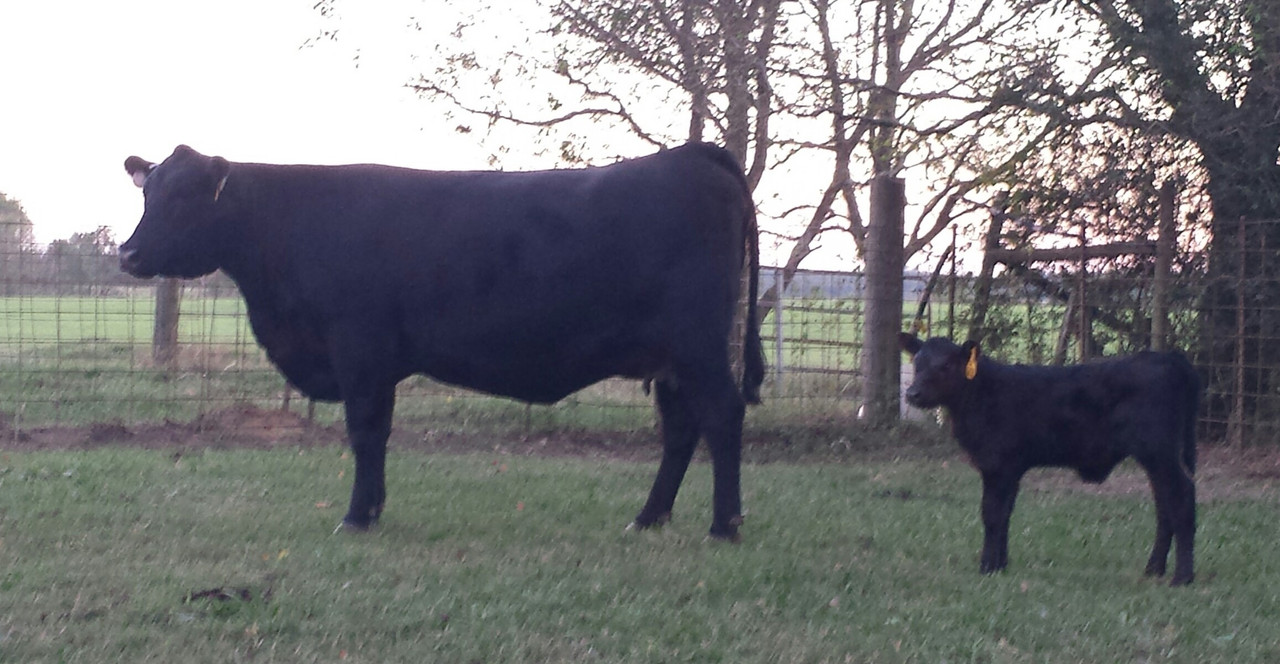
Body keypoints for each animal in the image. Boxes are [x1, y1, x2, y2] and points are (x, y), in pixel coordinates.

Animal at [120, 143, 765, 541]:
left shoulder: (360, 347)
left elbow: (365, 432)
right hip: (671, 357)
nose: (127, 253)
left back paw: (724, 526)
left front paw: (357, 516)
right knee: (681, 427)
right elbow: (376, 434)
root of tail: (690, 154)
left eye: (183, 197)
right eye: (148, 193)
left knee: (722, 415)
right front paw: (373, 510)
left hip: (699, 342)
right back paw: (648, 518)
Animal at [898, 333, 1199, 586]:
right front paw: (1001, 564)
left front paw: (987, 567)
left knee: (1181, 497)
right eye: (917, 363)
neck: (981, 394)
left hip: (1159, 452)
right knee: (1164, 505)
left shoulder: (997, 465)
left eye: (946, 365)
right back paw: (1154, 569)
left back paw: (1182, 577)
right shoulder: (1011, 468)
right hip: (1155, 457)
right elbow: (1005, 514)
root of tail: (1167, 357)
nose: (912, 393)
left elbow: (991, 514)